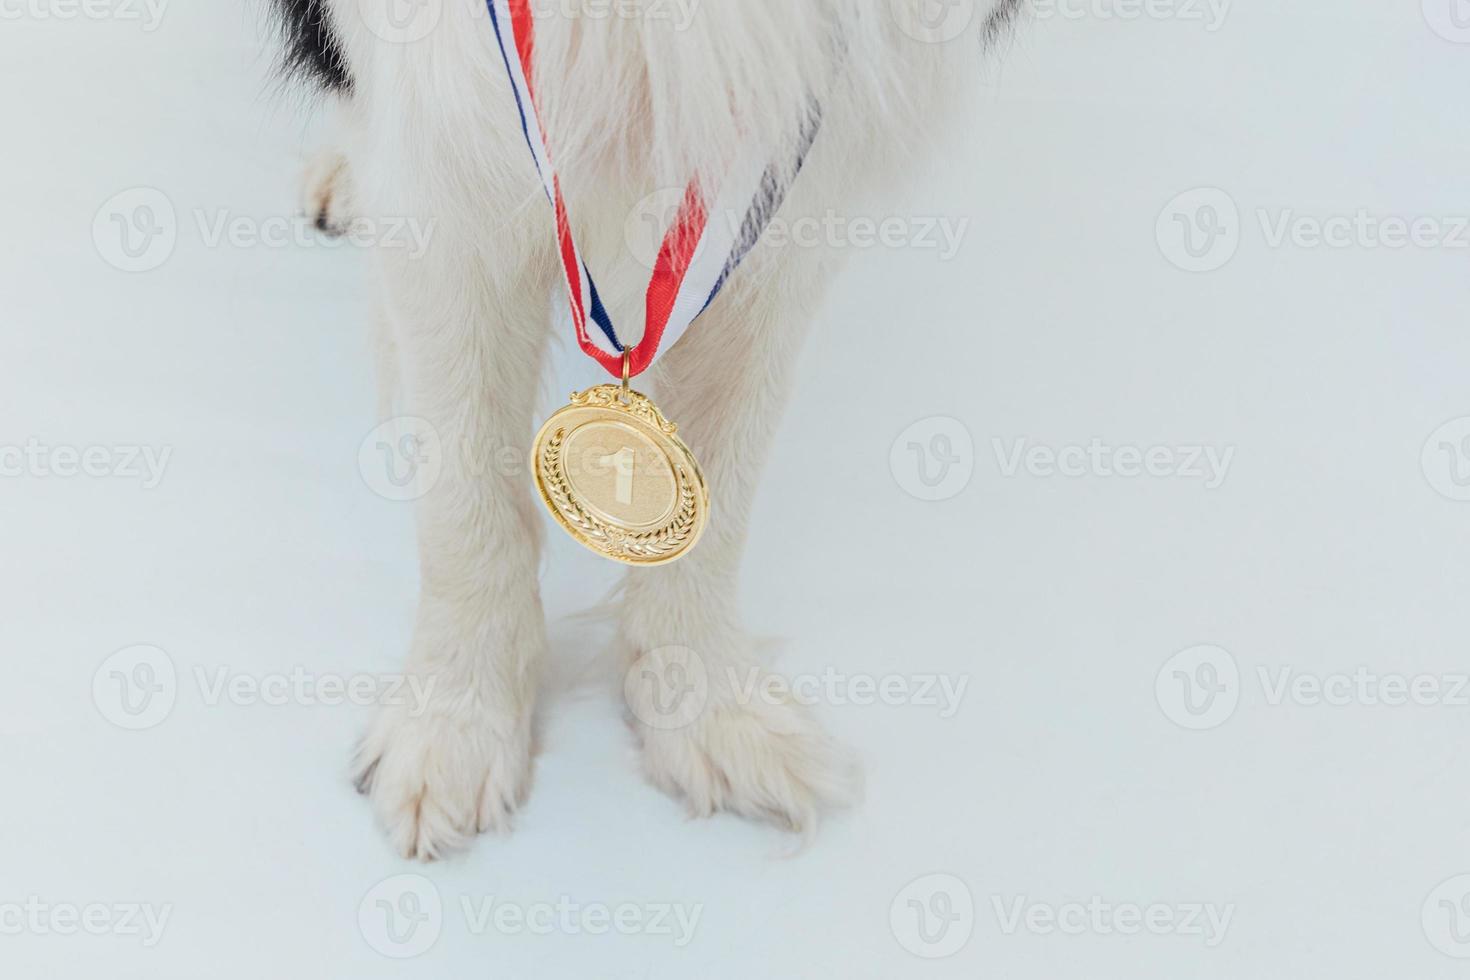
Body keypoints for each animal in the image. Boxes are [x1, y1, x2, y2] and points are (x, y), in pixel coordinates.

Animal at [270, 0, 1017, 858]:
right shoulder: (449, 148)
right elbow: (466, 501)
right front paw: (451, 730)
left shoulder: (791, 173)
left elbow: (720, 491)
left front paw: (713, 713)